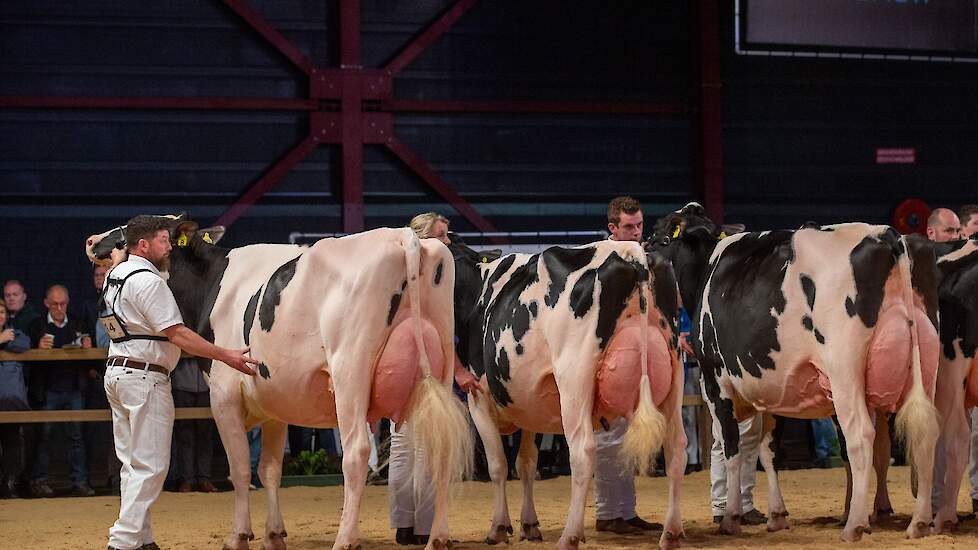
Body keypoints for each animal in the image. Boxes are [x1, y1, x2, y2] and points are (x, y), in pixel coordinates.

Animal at [84, 216, 472, 550]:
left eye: (126, 230)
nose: (91, 240)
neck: (213, 283)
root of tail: (404, 238)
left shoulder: (223, 395)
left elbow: (240, 469)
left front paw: (238, 535)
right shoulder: (275, 403)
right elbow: (269, 470)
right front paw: (273, 534)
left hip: (350, 367)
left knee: (356, 452)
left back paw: (346, 539)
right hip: (439, 366)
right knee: (443, 450)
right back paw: (438, 538)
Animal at [450, 238, 688, 550]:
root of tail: (631, 252)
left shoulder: (478, 398)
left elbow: (498, 465)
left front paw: (498, 528)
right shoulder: (532, 407)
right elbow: (526, 463)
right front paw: (529, 525)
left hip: (574, 380)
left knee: (583, 452)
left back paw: (570, 535)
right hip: (674, 371)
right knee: (675, 448)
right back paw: (671, 532)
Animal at [648, 204, 936, 544]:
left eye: (662, 238)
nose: (644, 249)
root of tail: (884, 234)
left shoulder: (715, 381)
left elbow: (732, 447)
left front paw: (731, 518)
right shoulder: (771, 388)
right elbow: (767, 449)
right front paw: (777, 515)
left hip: (844, 372)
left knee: (860, 437)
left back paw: (854, 524)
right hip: (924, 368)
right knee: (925, 432)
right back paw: (919, 522)